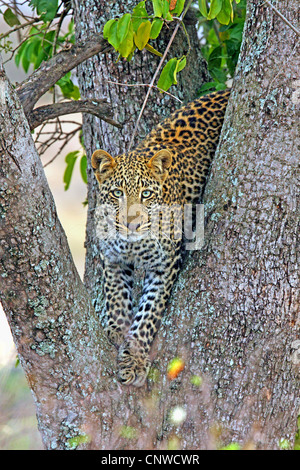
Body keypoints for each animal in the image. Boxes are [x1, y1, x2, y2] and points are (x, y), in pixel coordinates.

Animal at [91, 88, 230, 386]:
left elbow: (148, 312)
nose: (131, 224)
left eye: (146, 194)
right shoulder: (112, 258)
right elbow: (115, 295)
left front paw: (134, 359)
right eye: (117, 193)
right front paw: (117, 330)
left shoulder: (165, 265)